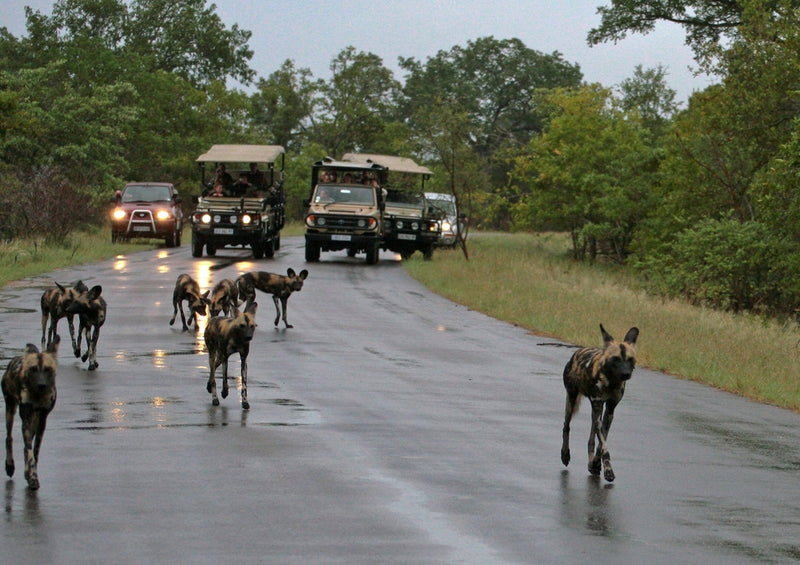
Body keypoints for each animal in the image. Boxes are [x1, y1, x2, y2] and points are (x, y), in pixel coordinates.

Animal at [2, 334, 60, 490]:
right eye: (33, 369)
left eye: (47, 369)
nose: (41, 385)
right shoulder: (26, 419)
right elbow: (30, 454)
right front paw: (33, 478)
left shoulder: (42, 420)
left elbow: (34, 451)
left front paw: (30, 475)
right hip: (10, 409)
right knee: (9, 437)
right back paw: (10, 465)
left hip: (35, 419)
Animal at [560, 324, 640, 482]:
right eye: (616, 359)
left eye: (630, 359)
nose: (626, 374)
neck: (611, 382)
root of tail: (577, 352)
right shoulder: (598, 408)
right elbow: (604, 446)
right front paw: (609, 471)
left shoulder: (609, 410)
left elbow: (601, 443)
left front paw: (596, 464)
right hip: (572, 400)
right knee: (566, 426)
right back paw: (565, 454)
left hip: (595, 410)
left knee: (591, 439)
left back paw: (591, 461)